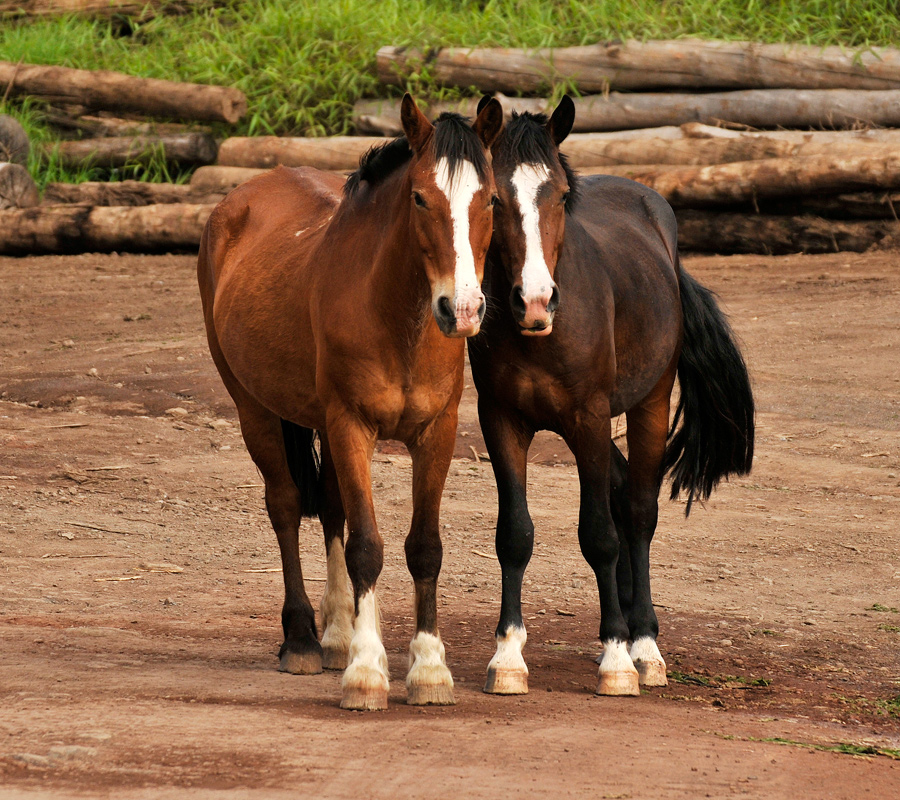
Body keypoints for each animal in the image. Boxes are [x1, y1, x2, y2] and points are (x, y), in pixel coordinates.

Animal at [198, 97, 502, 708]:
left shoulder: (436, 433)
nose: (461, 310)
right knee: (286, 505)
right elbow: (366, 545)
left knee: (332, 507)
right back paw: (302, 640)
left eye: (490, 199)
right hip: (256, 411)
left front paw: (428, 670)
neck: (397, 315)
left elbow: (424, 547)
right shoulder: (350, 426)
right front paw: (367, 672)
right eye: (419, 197)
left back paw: (338, 632)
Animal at [468, 97, 756, 696]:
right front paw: (507, 656)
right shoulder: (500, 419)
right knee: (624, 496)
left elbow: (599, 534)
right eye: (494, 198)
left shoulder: (590, 417)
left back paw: (642, 641)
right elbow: (514, 534)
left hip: (647, 405)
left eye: (559, 195)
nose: (535, 300)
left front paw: (618, 658)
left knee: (639, 512)